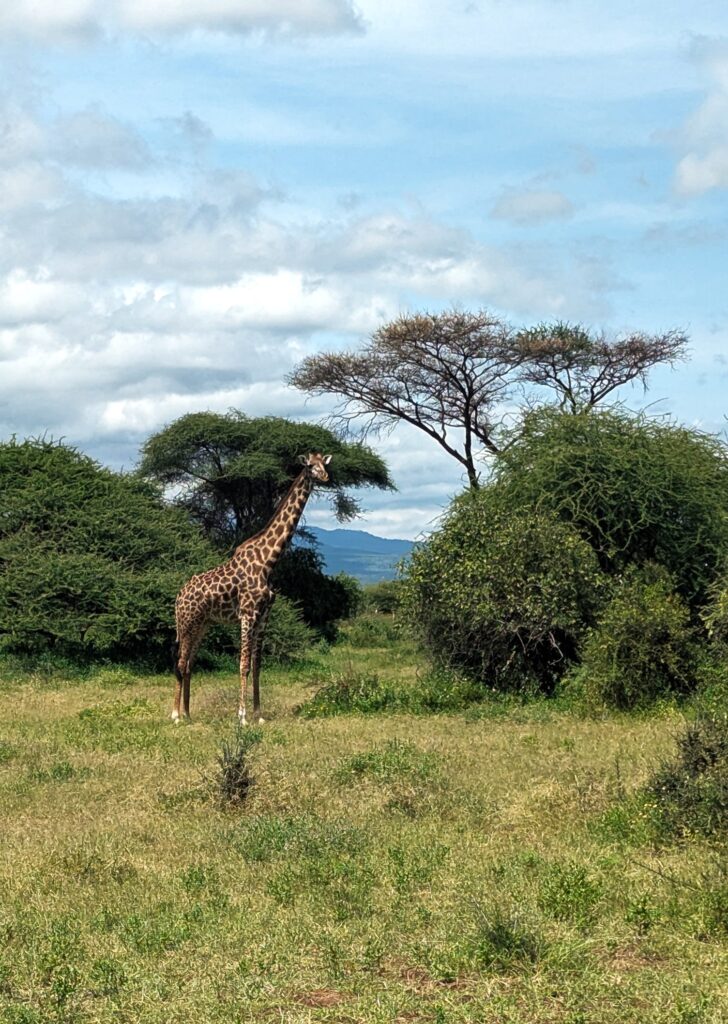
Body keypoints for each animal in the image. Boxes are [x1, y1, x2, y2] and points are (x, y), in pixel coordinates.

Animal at [172, 451, 331, 724]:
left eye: (324, 464)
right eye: (311, 466)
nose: (326, 476)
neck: (269, 562)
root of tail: (178, 597)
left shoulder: (264, 615)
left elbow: (257, 666)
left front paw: (259, 715)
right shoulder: (247, 614)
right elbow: (243, 665)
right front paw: (242, 716)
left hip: (203, 624)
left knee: (190, 663)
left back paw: (188, 713)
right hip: (186, 622)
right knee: (180, 662)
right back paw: (175, 715)